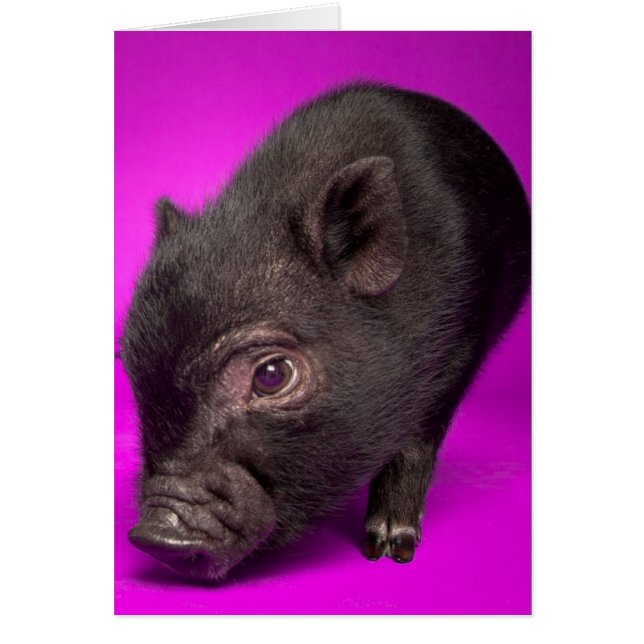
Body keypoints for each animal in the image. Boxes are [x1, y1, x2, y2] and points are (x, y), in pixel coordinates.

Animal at [121, 82, 531, 581]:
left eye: (272, 374)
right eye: (131, 367)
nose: (153, 535)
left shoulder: (457, 355)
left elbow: (414, 445)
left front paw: (388, 550)